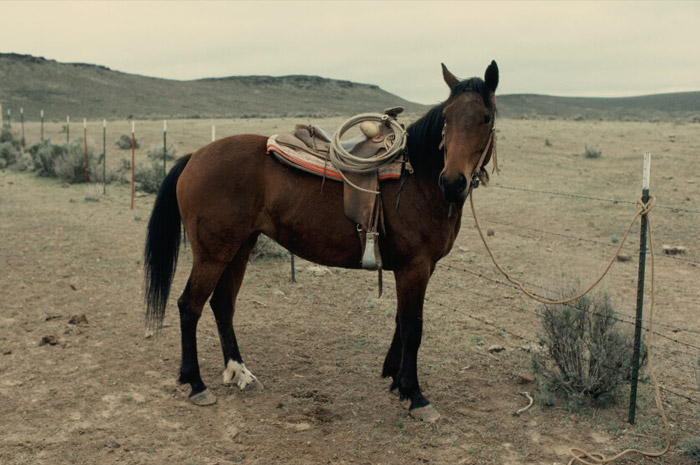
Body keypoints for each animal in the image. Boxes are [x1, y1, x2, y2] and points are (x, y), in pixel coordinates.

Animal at [144, 61, 499, 422]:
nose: (452, 182)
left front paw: (394, 378)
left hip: (239, 247)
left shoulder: (414, 269)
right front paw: (415, 395)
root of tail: (194, 156)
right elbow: (413, 328)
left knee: (222, 304)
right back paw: (196, 383)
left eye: (486, 117)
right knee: (190, 306)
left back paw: (239, 371)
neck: (417, 179)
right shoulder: (415, 267)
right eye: (447, 117)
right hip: (213, 253)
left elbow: (401, 321)